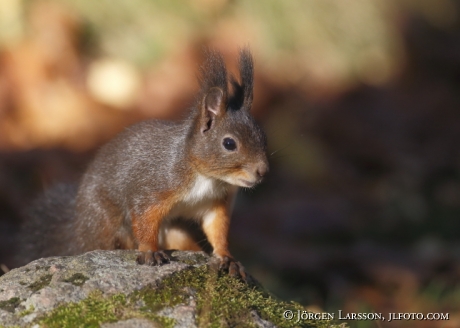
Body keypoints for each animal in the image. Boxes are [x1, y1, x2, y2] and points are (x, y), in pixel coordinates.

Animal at [15, 48, 270, 278]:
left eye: (262, 136)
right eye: (229, 143)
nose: (263, 171)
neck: (205, 177)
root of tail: (78, 227)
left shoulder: (214, 203)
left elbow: (217, 229)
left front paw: (227, 257)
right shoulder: (154, 185)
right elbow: (144, 217)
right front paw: (149, 251)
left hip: (171, 231)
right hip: (107, 224)